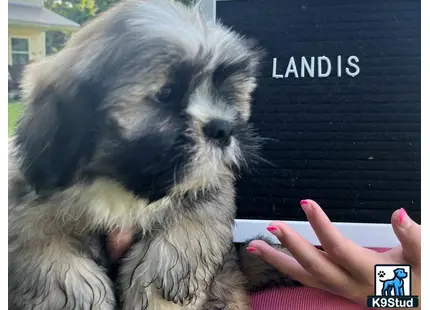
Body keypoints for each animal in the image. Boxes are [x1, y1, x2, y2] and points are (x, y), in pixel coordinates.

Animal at [7, 1, 296, 308]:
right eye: (166, 93)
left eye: (226, 95)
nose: (223, 128)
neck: (122, 187)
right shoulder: (31, 222)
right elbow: (63, 274)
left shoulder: (203, 203)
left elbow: (166, 263)